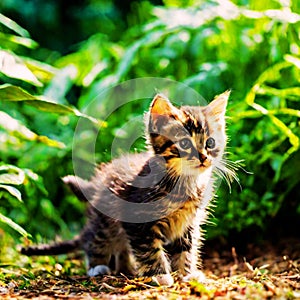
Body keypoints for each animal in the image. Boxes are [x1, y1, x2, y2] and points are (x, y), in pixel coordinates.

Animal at [21, 91, 234, 286]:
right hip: (106, 220)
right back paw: (97, 266)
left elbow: (186, 249)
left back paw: (126, 268)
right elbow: (150, 250)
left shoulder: (188, 221)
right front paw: (159, 275)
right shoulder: (137, 219)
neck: (183, 182)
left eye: (210, 142)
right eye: (184, 143)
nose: (204, 157)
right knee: (95, 239)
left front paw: (186, 274)